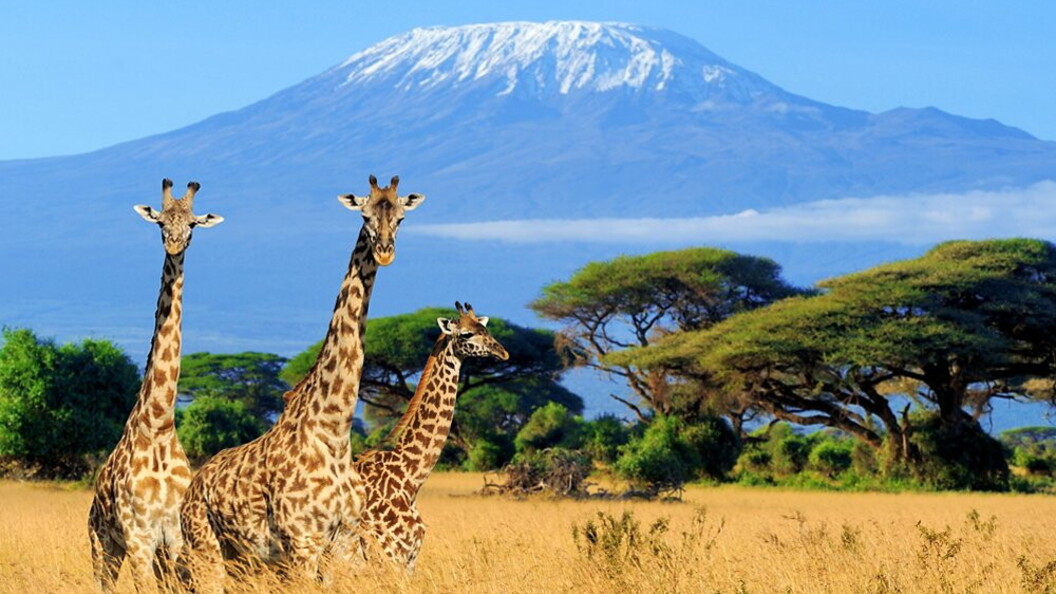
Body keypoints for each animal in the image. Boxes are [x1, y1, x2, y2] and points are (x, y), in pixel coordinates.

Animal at [88, 179, 224, 593]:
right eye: (161, 222)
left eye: (193, 224)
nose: (175, 245)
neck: (160, 424)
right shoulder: (139, 537)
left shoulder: (174, 537)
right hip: (102, 543)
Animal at [179, 175, 424, 589]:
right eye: (364, 215)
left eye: (402, 217)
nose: (385, 252)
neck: (334, 431)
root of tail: (192, 487)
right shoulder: (303, 542)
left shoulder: (344, 541)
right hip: (205, 547)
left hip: (242, 557)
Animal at [354, 302, 509, 571]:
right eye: (466, 334)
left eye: (485, 329)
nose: (503, 353)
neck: (410, 478)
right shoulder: (392, 554)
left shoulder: (409, 558)